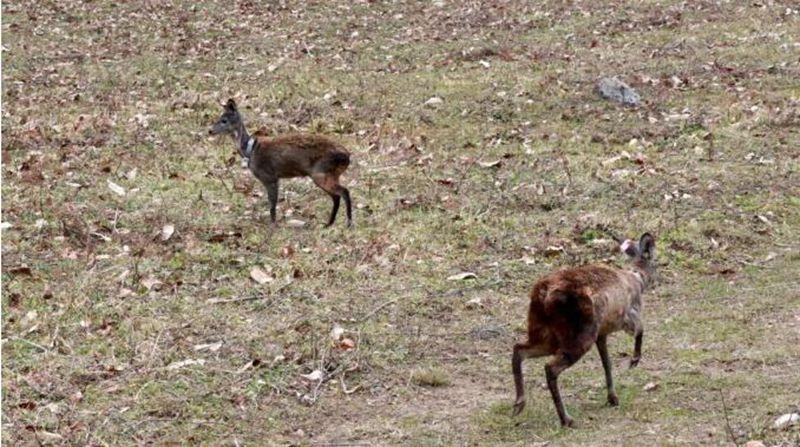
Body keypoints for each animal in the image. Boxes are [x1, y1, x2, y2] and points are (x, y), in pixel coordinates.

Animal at [209, 100, 354, 229]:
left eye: (224, 120)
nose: (210, 131)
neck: (251, 150)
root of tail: (346, 156)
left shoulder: (269, 177)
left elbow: (272, 203)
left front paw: (273, 225)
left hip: (321, 172)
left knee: (343, 192)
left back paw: (347, 223)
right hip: (330, 174)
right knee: (337, 195)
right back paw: (329, 223)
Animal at [512, 231, 656, 428]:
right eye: (654, 260)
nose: (656, 278)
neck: (637, 278)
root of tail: (542, 294)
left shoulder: (602, 332)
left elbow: (607, 363)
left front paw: (612, 398)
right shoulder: (627, 315)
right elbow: (641, 329)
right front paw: (634, 360)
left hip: (546, 332)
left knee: (519, 349)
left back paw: (519, 403)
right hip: (581, 333)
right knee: (550, 368)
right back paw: (566, 419)